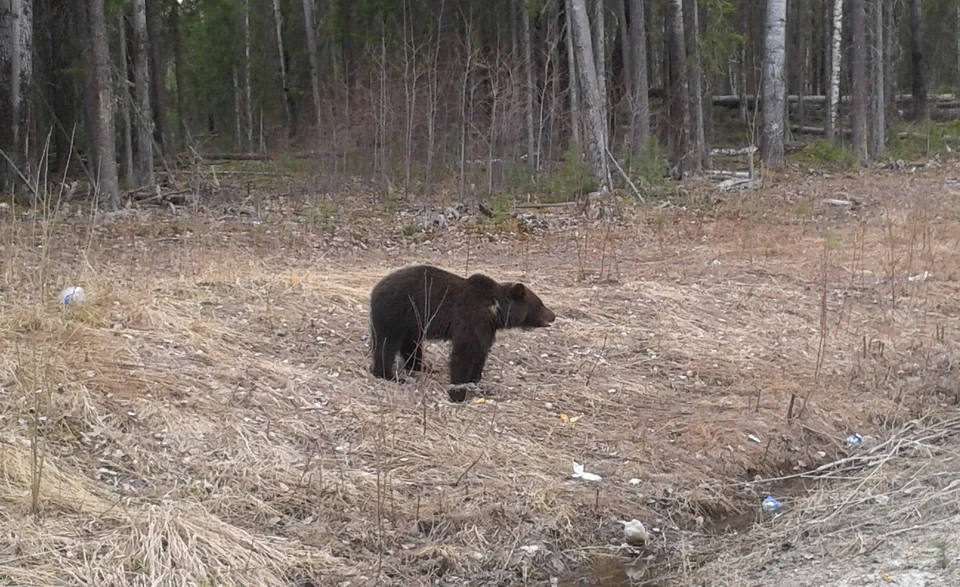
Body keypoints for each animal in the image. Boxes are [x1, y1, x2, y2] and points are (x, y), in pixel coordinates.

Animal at [370, 266, 564, 400]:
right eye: (540, 303)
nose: (553, 315)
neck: (494, 310)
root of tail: (375, 289)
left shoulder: (487, 328)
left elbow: (480, 351)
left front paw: (475, 378)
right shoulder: (471, 319)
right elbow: (465, 351)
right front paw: (459, 390)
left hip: (412, 322)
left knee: (411, 344)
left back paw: (420, 366)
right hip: (396, 313)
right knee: (386, 344)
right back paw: (387, 374)